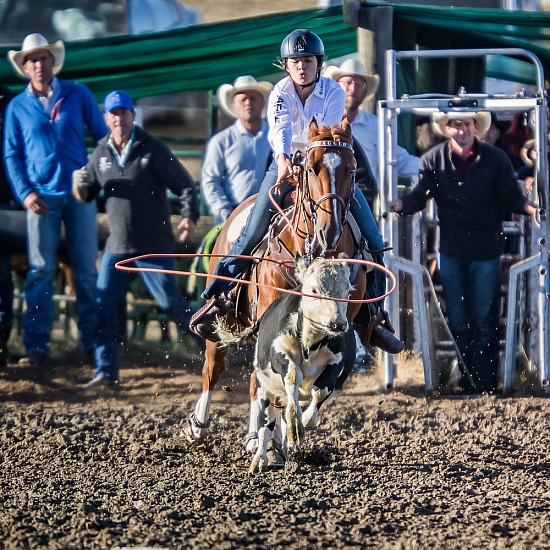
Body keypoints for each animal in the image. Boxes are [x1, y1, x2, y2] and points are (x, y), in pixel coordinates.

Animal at [184, 119, 370, 444]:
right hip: (222, 321)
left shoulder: (339, 327)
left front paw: (297, 425)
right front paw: (264, 434)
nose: (329, 231)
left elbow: (323, 384)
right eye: (311, 168)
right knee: (215, 367)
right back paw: (203, 424)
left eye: (352, 169)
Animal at [220, 256, 358, 472]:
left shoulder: (337, 361)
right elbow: (293, 376)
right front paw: (295, 427)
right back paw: (260, 459)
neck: (310, 342)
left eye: (348, 291)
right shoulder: (279, 353)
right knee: (265, 427)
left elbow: (321, 391)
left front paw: (305, 423)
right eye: (314, 290)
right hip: (265, 391)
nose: (338, 324)